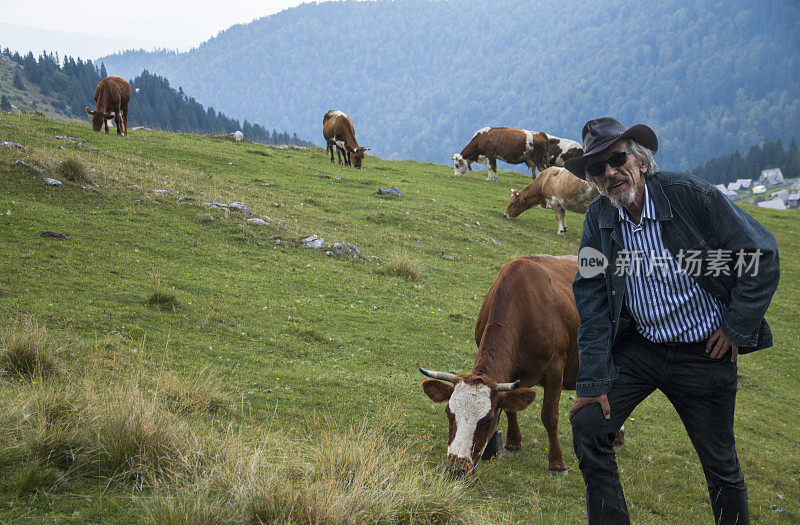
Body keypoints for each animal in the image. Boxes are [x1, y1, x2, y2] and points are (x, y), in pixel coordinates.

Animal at [422, 254, 628, 474]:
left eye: (488, 420)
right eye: (448, 412)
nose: (456, 468)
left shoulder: (555, 371)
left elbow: (550, 416)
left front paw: (557, 463)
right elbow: (511, 408)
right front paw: (513, 442)